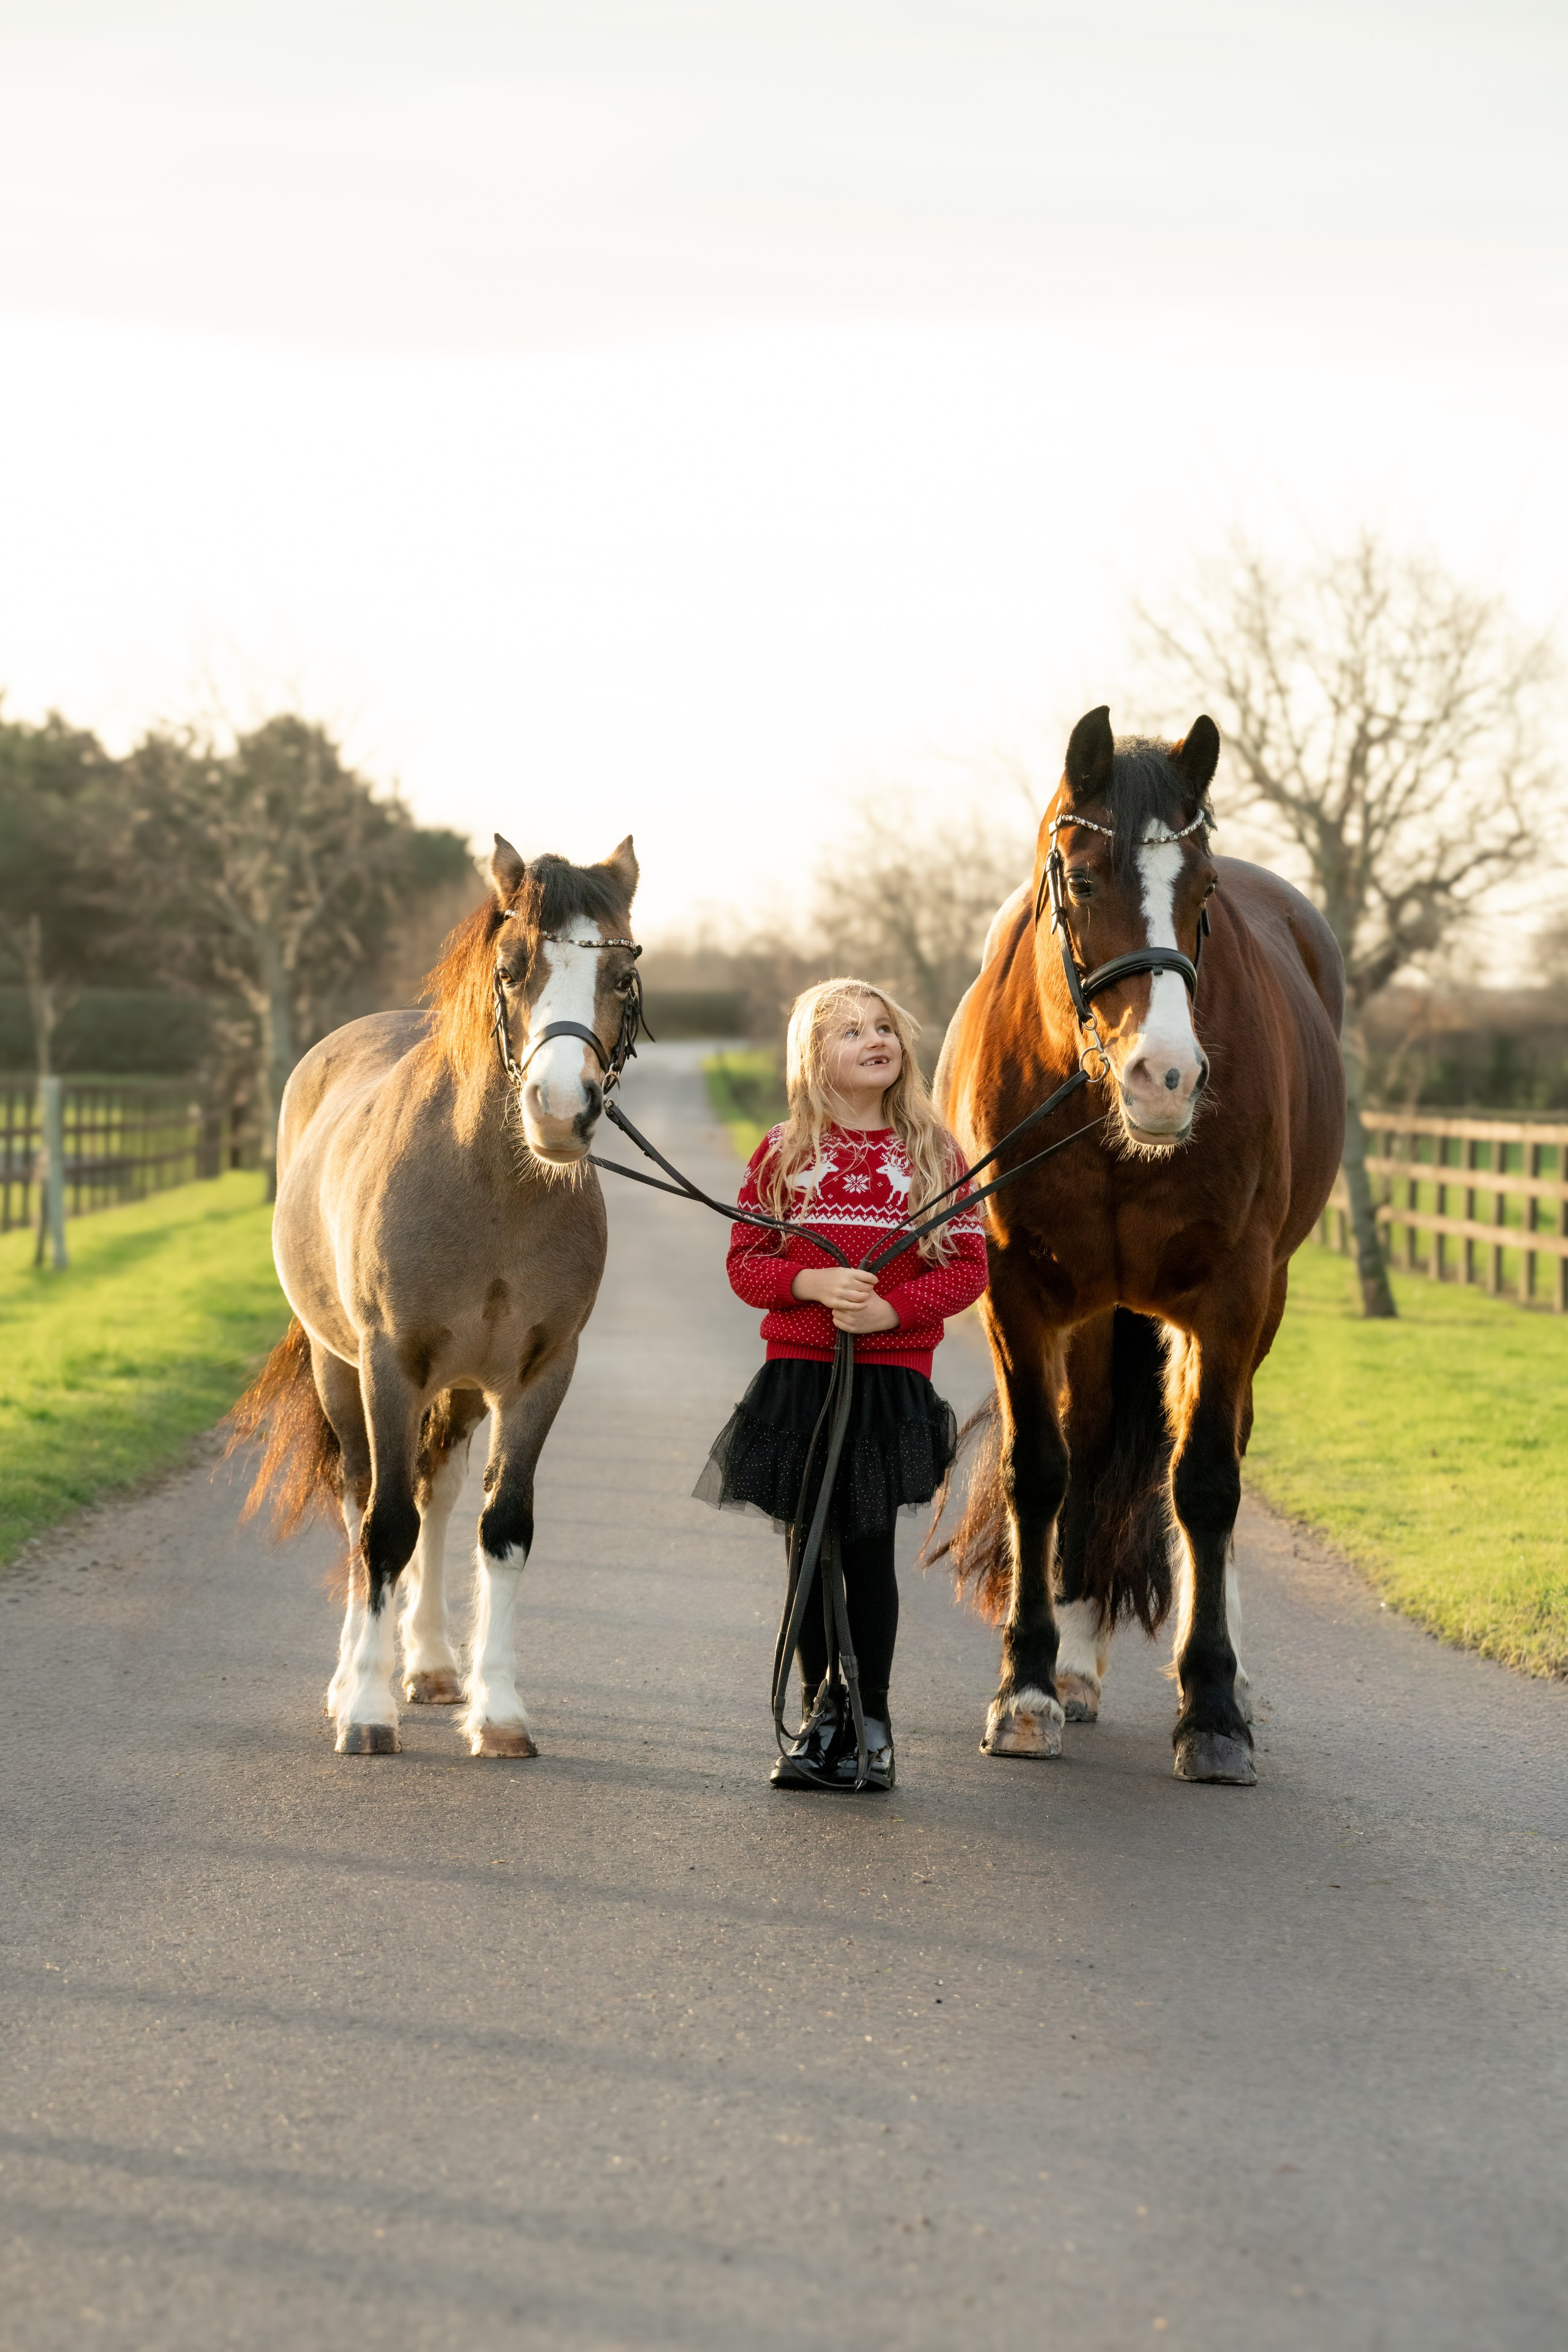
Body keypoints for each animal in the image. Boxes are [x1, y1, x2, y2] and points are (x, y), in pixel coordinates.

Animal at [230, 833, 643, 1757]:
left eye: (622, 974)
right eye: (512, 967)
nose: (559, 1110)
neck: (490, 1188)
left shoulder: (539, 1377)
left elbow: (504, 1528)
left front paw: (498, 1713)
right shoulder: (390, 1365)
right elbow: (383, 1527)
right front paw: (366, 1710)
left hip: (455, 1392)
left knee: (437, 1495)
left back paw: (426, 1663)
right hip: (342, 1370)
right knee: (364, 1499)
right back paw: (354, 1678)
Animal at [932, 706, 1344, 1783]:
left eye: (1202, 893)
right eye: (1080, 880)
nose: (1168, 1077)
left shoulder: (1232, 1297)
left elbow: (1205, 1482)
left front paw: (1212, 1706)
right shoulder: (1018, 1293)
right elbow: (1041, 1469)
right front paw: (1028, 1687)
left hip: (1257, 1304)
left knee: (1218, 1448)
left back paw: (1227, 1669)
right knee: (1085, 1441)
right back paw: (1075, 1662)